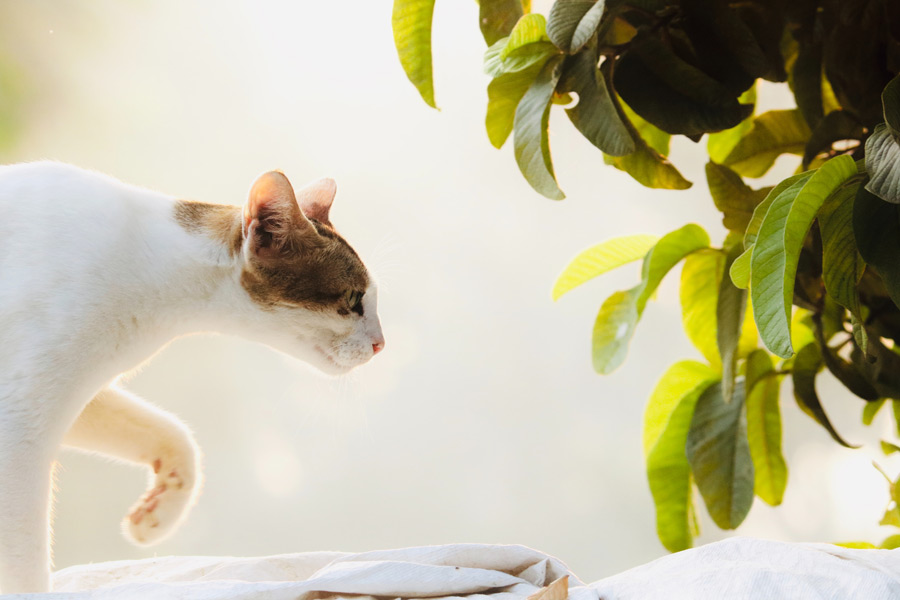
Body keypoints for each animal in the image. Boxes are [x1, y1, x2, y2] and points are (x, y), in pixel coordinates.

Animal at [0, 162, 384, 592]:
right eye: (353, 301)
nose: (381, 344)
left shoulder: (77, 394)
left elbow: (177, 436)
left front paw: (155, 516)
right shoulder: (20, 424)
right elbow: (25, 563)